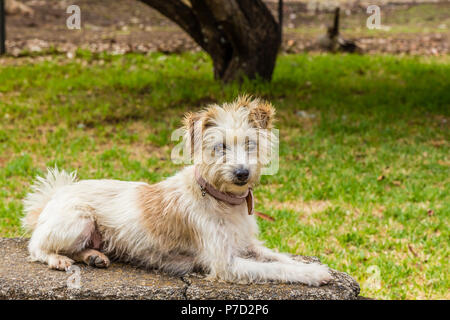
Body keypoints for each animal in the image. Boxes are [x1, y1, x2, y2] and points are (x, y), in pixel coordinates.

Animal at [22, 96, 330, 286]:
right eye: (220, 147)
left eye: (249, 143)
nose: (242, 173)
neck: (220, 198)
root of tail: (53, 196)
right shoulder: (225, 263)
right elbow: (275, 268)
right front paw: (313, 275)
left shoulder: (246, 245)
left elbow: (279, 257)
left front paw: (312, 267)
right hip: (78, 220)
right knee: (37, 246)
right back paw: (58, 259)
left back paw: (93, 257)